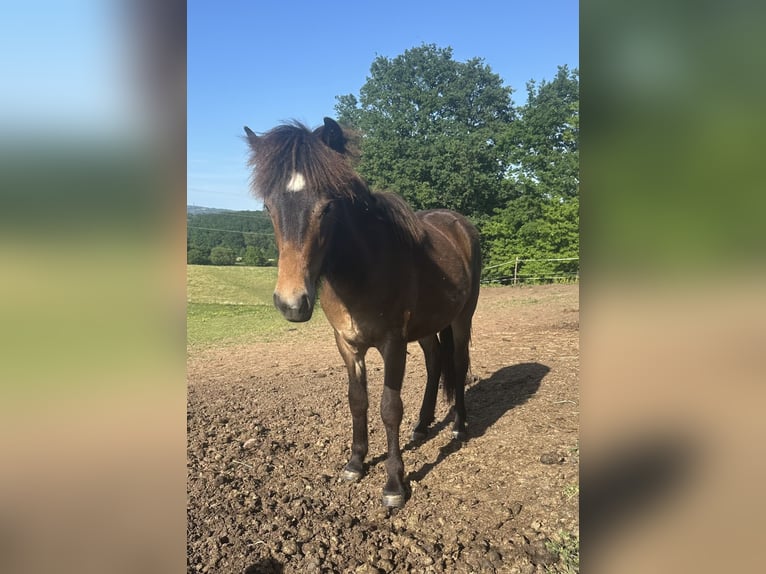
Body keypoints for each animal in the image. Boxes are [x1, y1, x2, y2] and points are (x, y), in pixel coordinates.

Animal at [243, 117, 481, 508]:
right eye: (268, 207)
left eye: (327, 207)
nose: (292, 302)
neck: (365, 268)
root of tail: (458, 223)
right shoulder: (347, 343)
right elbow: (358, 401)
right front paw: (355, 463)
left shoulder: (393, 344)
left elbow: (389, 408)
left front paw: (395, 484)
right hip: (428, 325)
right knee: (435, 362)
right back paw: (422, 425)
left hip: (462, 318)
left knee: (458, 364)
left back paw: (459, 427)